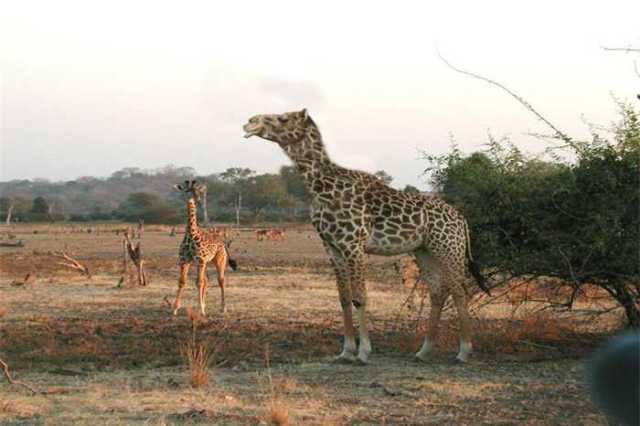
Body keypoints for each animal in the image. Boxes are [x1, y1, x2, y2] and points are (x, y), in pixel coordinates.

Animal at [172, 180, 238, 316]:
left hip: (219, 259)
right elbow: (182, 281)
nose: (197, 200)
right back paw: (204, 305)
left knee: (220, 280)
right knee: (206, 280)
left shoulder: (200, 261)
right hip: (206, 263)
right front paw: (175, 308)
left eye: (198, 191)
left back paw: (223, 308)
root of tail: (222, 242)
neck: (191, 233)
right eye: (187, 191)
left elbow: (199, 282)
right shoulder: (184, 260)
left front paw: (201, 310)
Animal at [242, 109, 488, 362]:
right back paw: (424, 351)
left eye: (283, 118)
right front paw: (345, 351)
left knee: (460, 290)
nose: (249, 123)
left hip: (449, 248)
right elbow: (344, 298)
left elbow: (360, 297)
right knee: (438, 292)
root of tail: (461, 219)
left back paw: (464, 352)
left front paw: (363, 352)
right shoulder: (332, 247)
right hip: (424, 251)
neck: (320, 189)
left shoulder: (354, 244)